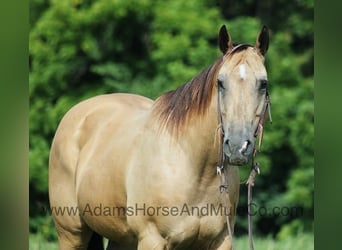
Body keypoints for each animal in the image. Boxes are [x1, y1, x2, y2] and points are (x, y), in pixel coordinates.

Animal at [49, 24, 270, 249]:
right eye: (221, 82)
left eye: (263, 84)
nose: (237, 147)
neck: (196, 169)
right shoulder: (152, 239)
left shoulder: (221, 241)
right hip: (71, 234)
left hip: (121, 237)